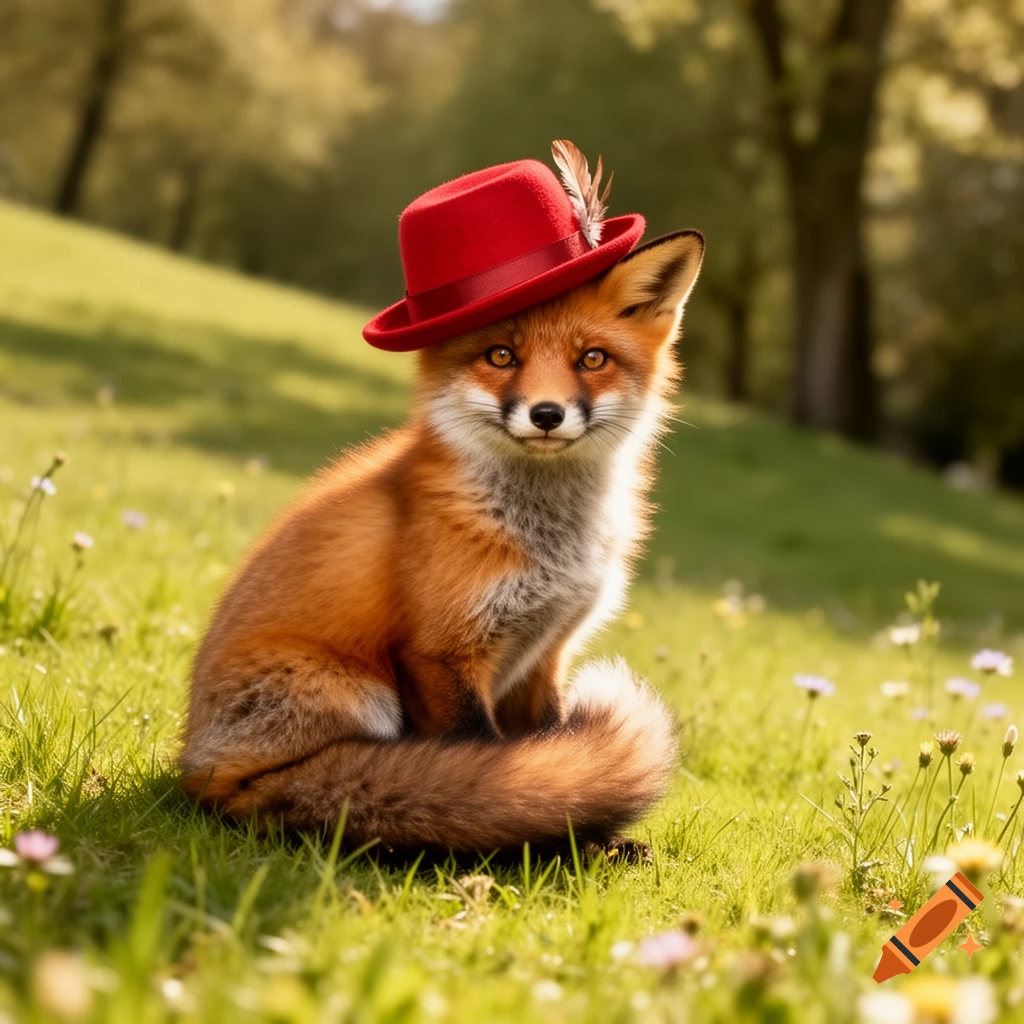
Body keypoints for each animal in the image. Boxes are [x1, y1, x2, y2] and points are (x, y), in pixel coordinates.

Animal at [181, 219, 704, 853]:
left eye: (592, 358)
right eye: (501, 355)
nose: (547, 414)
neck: (547, 542)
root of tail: (202, 772)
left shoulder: (547, 651)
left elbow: (559, 750)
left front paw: (586, 837)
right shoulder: (441, 651)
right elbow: (491, 766)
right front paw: (541, 842)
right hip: (351, 690)